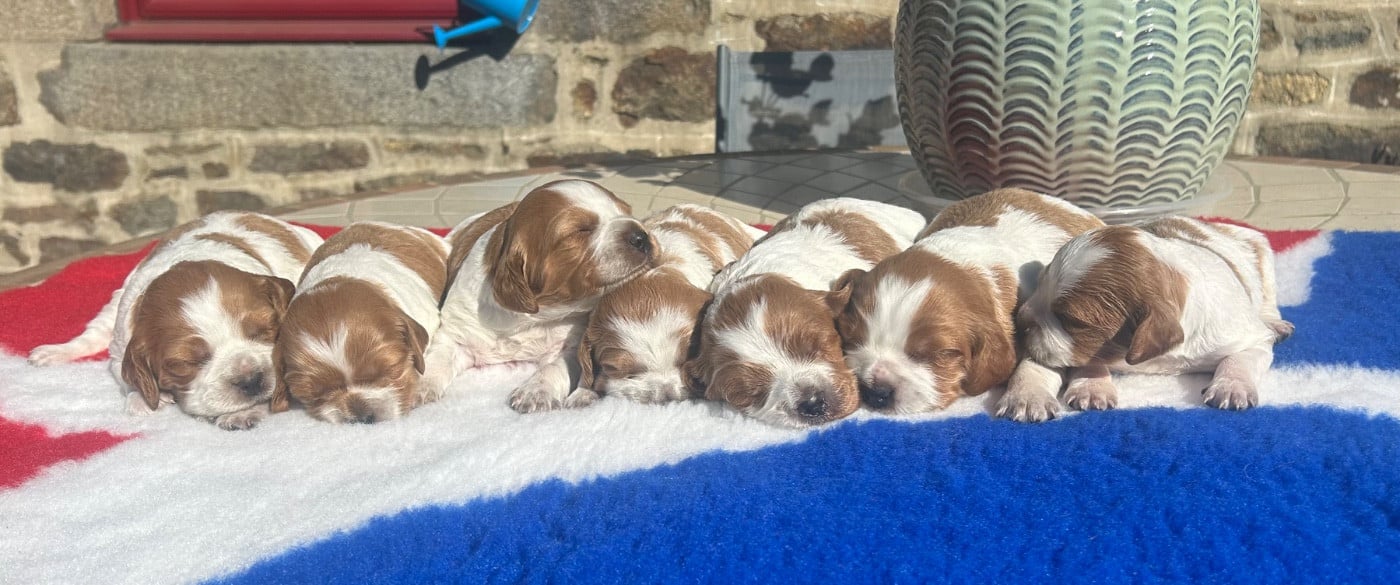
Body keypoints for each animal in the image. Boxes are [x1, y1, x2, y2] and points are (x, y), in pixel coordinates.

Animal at [28, 211, 323, 430]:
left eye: (267, 331)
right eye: (186, 363)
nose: (250, 379)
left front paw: (240, 414)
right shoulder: (123, 340)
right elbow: (123, 373)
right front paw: (144, 401)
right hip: (114, 306)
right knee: (93, 334)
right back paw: (52, 353)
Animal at [421, 179, 657, 413]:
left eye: (627, 212)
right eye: (581, 229)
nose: (642, 236)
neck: (534, 316)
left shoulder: (572, 343)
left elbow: (554, 367)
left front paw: (534, 392)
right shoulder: (456, 330)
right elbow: (438, 357)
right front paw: (422, 387)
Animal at [827, 189, 1105, 416]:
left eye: (934, 354)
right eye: (851, 339)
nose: (875, 392)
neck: (959, 257)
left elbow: (1036, 361)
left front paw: (1026, 397)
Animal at [1009, 217, 1293, 421]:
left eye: (1071, 320)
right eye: (1039, 283)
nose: (1020, 320)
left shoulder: (1251, 338)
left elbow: (1239, 359)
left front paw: (1231, 387)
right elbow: (1089, 359)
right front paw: (1092, 387)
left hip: (1261, 249)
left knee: (1269, 300)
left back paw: (1276, 323)